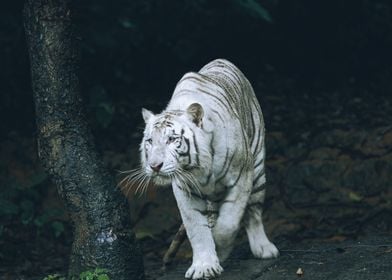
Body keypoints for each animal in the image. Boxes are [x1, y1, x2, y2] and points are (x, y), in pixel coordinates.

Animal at [135, 58, 278, 278]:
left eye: (172, 139)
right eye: (150, 141)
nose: (155, 166)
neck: (197, 168)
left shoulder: (241, 178)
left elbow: (228, 223)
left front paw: (220, 248)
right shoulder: (184, 190)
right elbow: (197, 229)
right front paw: (204, 265)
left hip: (258, 169)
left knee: (253, 212)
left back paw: (264, 249)